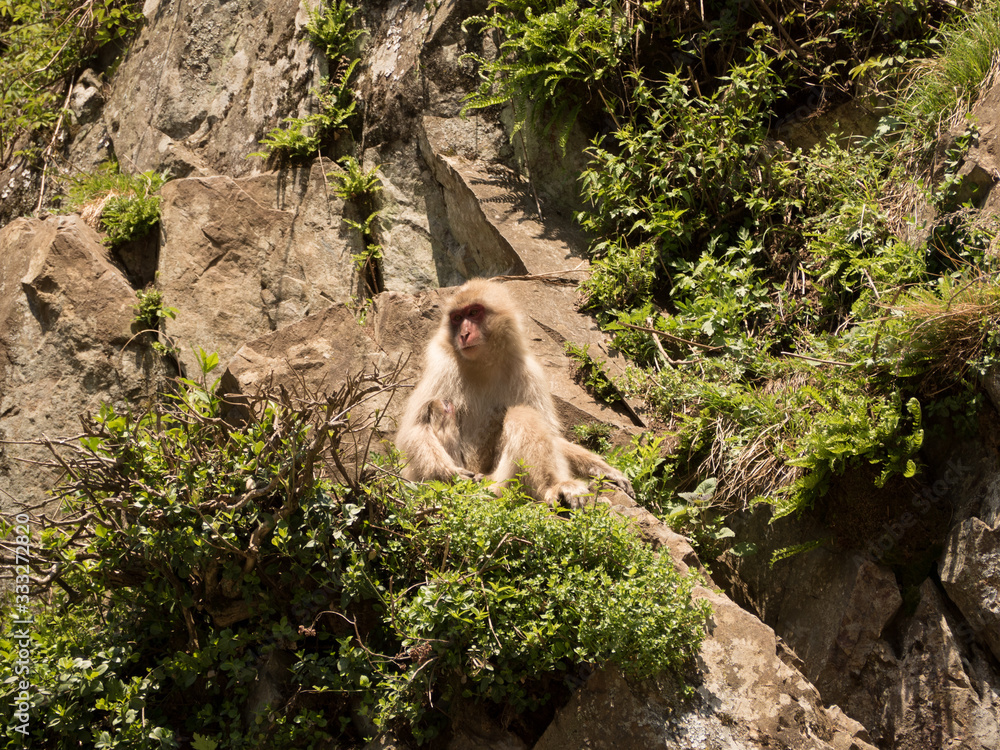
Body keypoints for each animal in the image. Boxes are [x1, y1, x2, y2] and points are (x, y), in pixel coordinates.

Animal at [396, 278, 633, 508]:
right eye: (456, 318)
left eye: (473, 312)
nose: (464, 334)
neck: (482, 365)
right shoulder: (442, 367)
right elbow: (414, 429)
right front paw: (449, 473)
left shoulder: (529, 372)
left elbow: (552, 436)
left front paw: (603, 469)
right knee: (440, 406)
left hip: (503, 482)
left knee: (523, 415)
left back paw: (555, 486)